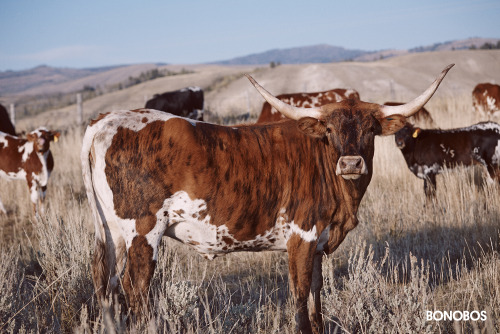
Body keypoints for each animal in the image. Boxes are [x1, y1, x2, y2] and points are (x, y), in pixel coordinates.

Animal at [82, 64, 454, 332]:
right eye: (330, 130)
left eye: (370, 129)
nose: (350, 163)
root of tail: (105, 119)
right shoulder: (301, 238)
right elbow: (301, 300)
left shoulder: (317, 245)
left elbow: (317, 301)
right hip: (143, 231)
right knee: (136, 288)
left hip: (112, 233)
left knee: (107, 286)